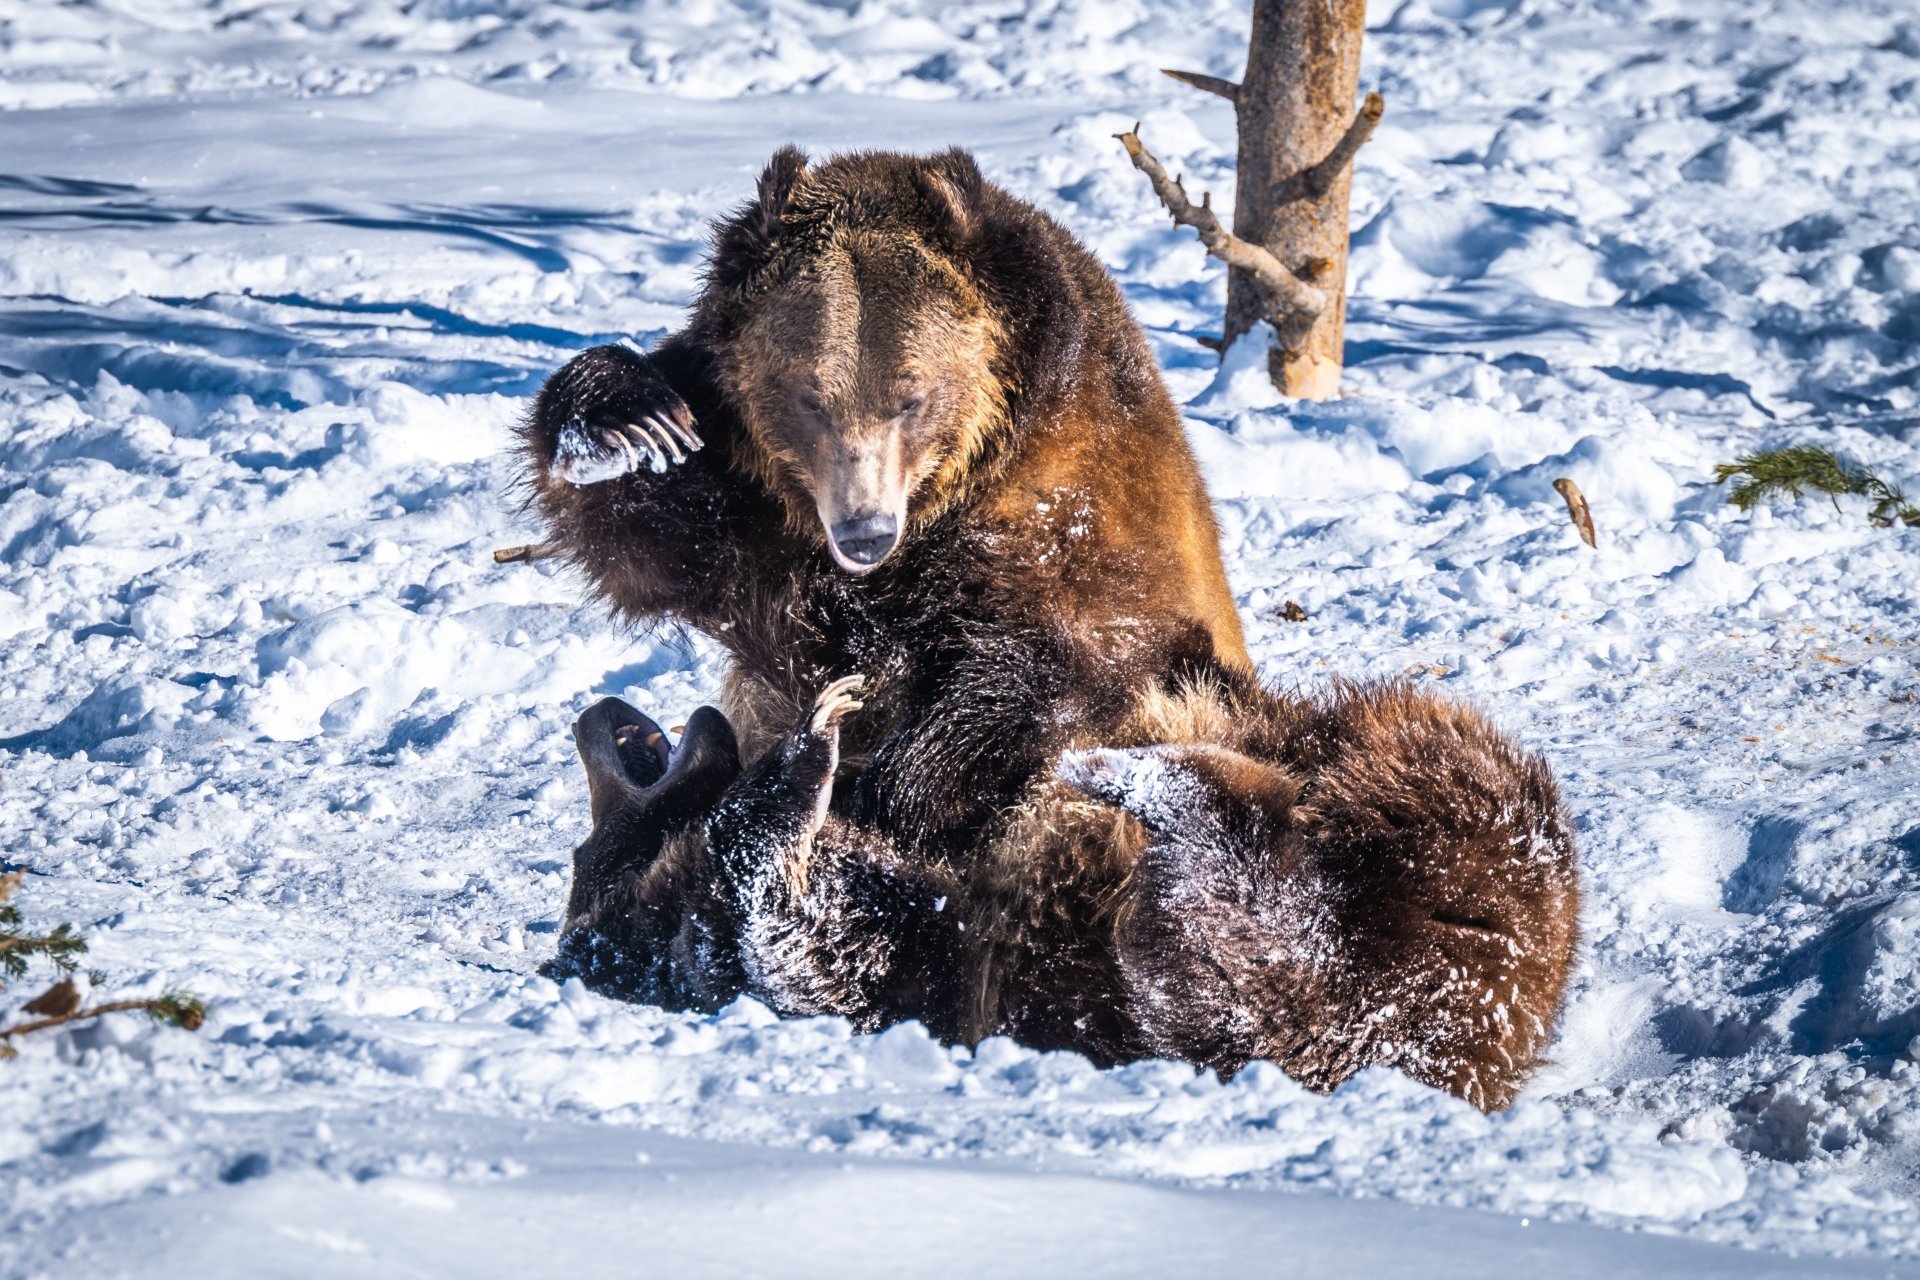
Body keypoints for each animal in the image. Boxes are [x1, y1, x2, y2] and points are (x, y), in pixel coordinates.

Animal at [520, 146, 1581, 1110]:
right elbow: (659, 533)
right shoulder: (767, 531)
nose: (864, 530)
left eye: (911, 393)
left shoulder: (1077, 516)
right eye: (807, 396)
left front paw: (887, 773)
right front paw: (625, 422)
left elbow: (1046, 665)